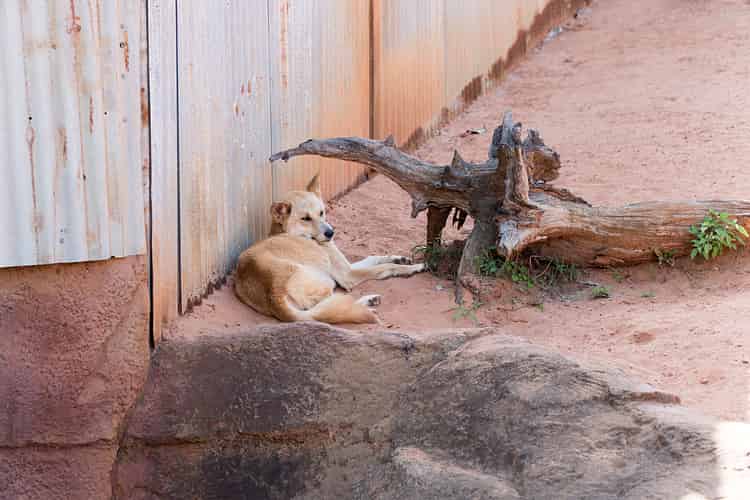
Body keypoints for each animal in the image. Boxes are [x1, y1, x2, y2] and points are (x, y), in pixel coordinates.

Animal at [234, 174, 425, 324]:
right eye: (305, 218)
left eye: (321, 212)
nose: (331, 233)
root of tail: (273, 293)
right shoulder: (347, 275)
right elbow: (386, 268)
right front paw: (413, 267)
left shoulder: (346, 267)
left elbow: (373, 257)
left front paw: (400, 258)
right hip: (327, 281)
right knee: (329, 308)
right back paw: (368, 303)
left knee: (321, 311)